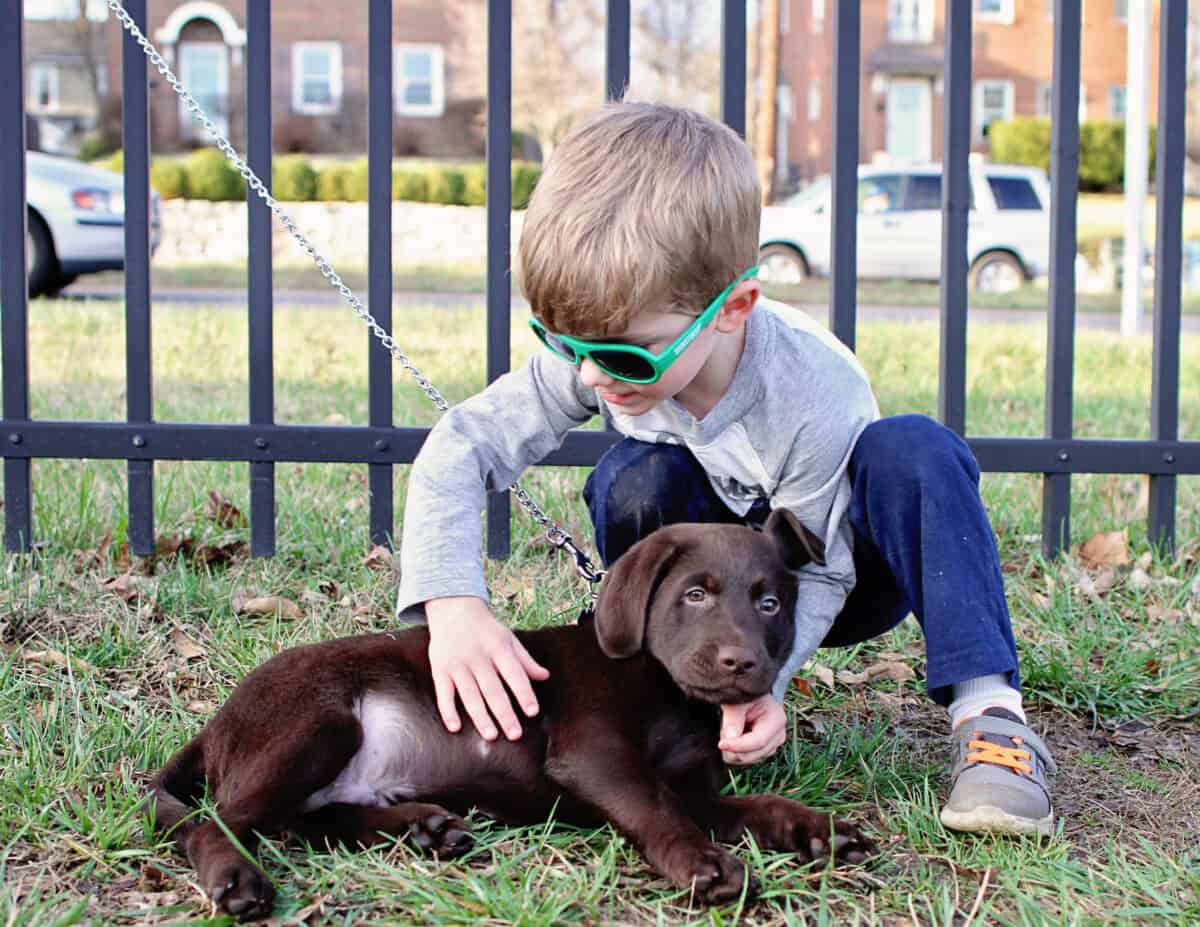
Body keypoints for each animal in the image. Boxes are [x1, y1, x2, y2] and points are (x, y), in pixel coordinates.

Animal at [150, 511, 873, 917]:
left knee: (305, 820)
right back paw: (236, 879)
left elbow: (758, 806)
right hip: (321, 722)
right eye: (695, 595)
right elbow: (654, 808)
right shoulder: (594, 755)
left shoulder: (699, 789)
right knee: (213, 822)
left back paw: (424, 829)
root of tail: (217, 722)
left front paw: (818, 830)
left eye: (770, 603)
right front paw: (704, 865)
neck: (670, 694)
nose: (742, 663)